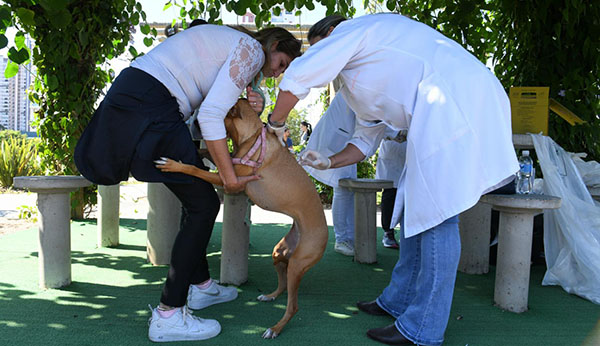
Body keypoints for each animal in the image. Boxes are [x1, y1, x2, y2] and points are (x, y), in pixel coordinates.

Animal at [155, 98, 328, 338]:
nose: (194, 120)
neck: (251, 137)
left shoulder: (227, 179)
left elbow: (195, 169)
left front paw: (175, 164)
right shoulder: (227, 163)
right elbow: (206, 151)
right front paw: (197, 150)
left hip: (297, 263)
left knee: (293, 306)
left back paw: (275, 328)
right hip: (279, 253)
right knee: (283, 284)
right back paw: (270, 295)